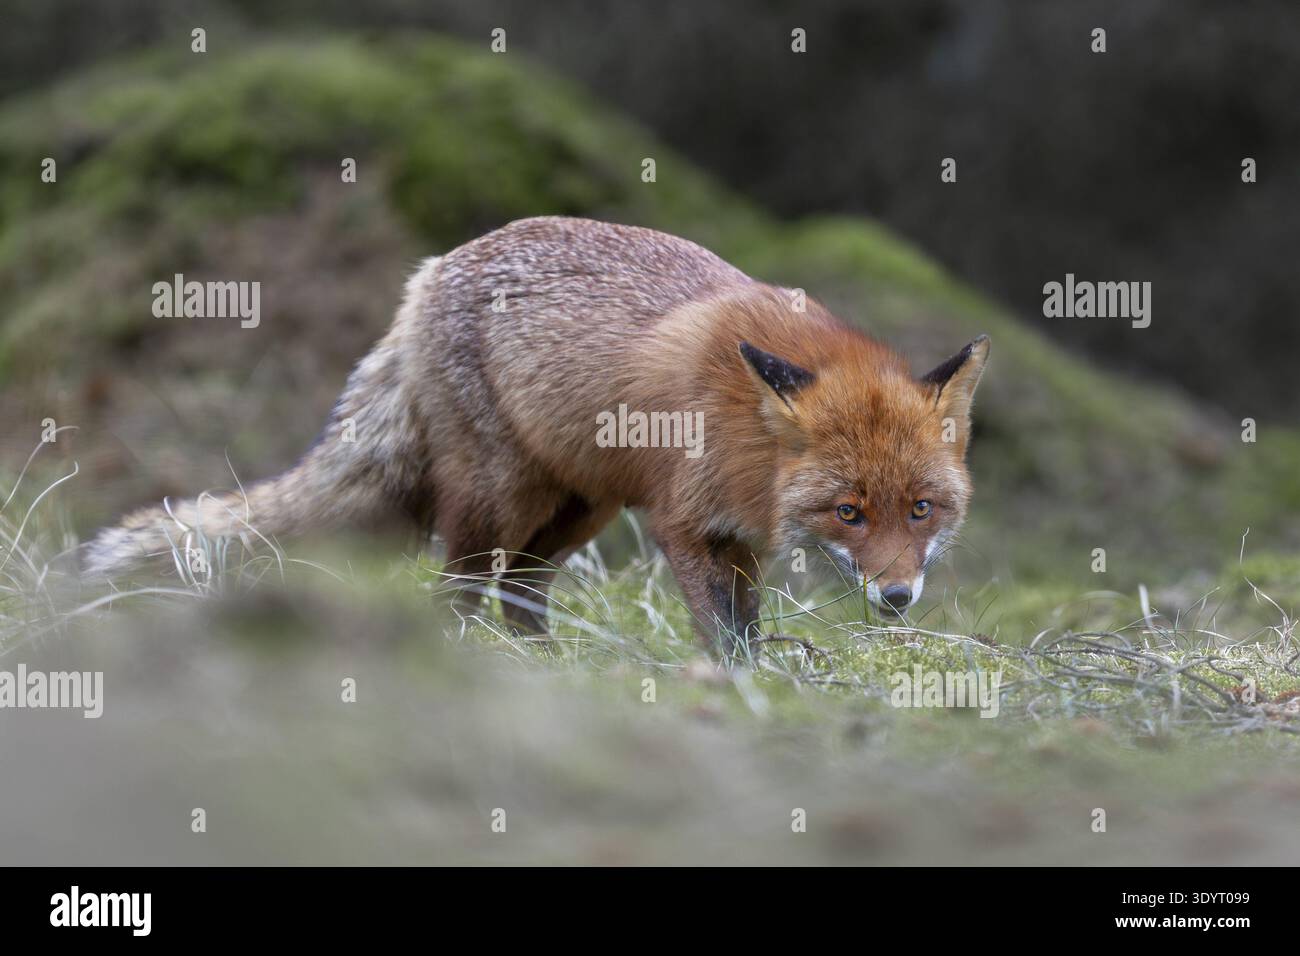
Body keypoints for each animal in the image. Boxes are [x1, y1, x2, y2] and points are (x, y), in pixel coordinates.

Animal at [84, 216, 989, 650]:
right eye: (848, 513)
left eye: (922, 509)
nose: (897, 599)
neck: (750, 444)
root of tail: (428, 274)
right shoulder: (685, 526)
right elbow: (727, 636)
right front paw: (736, 691)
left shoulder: (739, 541)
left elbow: (750, 629)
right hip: (496, 499)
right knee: (457, 591)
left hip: (580, 507)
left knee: (520, 593)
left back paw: (546, 663)